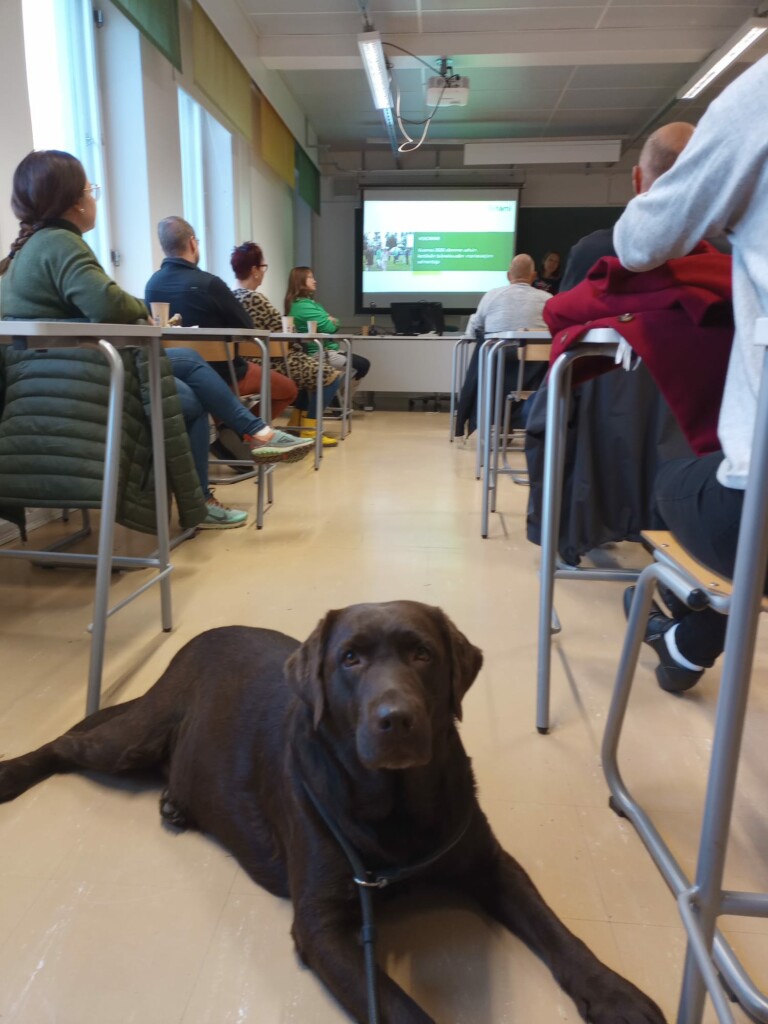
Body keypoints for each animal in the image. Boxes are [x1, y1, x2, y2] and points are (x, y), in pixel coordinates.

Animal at [0, 598, 663, 1024]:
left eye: (422, 655)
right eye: (350, 659)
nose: (397, 719)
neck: (397, 811)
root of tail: (196, 638)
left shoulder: (492, 864)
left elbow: (558, 932)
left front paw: (617, 995)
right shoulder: (321, 927)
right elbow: (399, 1008)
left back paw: (175, 804)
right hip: (131, 737)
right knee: (66, 743)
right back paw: (13, 773)